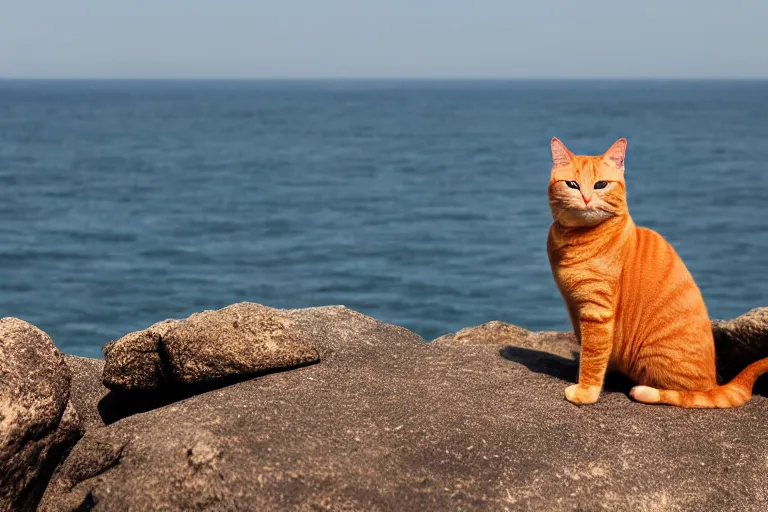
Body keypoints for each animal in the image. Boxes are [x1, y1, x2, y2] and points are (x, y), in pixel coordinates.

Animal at [544, 137, 768, 408]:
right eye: (572, 185)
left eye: (600, 185)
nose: (586, 198)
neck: (576, 238)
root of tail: (713, 383)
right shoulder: (576, 309)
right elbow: (591, 350)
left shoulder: (597, 312)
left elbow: (593, 354)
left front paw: (586, 390)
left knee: (683, 395)